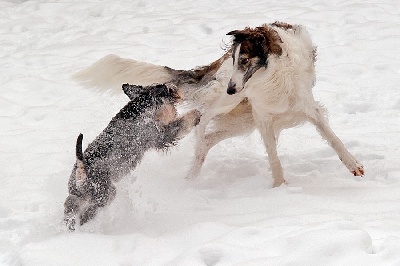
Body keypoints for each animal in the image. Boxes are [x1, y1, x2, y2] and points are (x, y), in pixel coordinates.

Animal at [64, 83, 200, 231]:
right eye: (166, 89)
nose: (176, 87)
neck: (141, 106)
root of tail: (81, 170)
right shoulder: (162, 135)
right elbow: (181, 123)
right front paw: (196, 114)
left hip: (77, 196)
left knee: (69, 209)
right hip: (105, 194)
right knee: (87, 213)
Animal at [73, 21, 364, 187]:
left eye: (245, 60)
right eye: (236, 60)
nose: (232, 87)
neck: (272, 76)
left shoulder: (305, 107)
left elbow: (332, 137)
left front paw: (354, 165)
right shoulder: (262, 115)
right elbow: (274, 158)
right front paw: (280, 188)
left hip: (242, 119)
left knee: (207, 139)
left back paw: (192, 175)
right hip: (228, 105)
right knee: (203, 122)